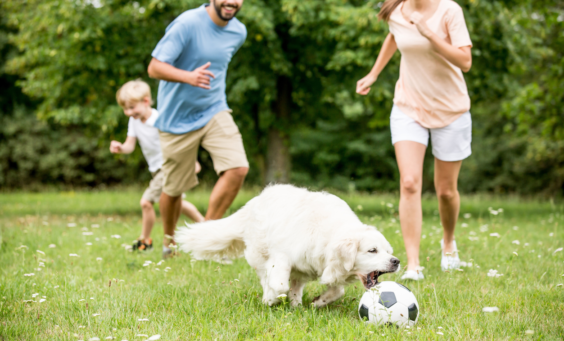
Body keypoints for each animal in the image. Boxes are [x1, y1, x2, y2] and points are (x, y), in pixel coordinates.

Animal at [174, 185, 398, 306]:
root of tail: (255, 201)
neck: (328, 234)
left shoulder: (324, 266)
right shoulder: (281, 256)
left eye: (389, 251)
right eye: (372, 250)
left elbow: (337, 291)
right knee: (266, 276)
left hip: (301, 269)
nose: (396, 261)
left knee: (296, 285)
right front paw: (272, 298)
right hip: (260, 254)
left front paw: (319, 302)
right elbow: (279, 284)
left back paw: (297, 305)